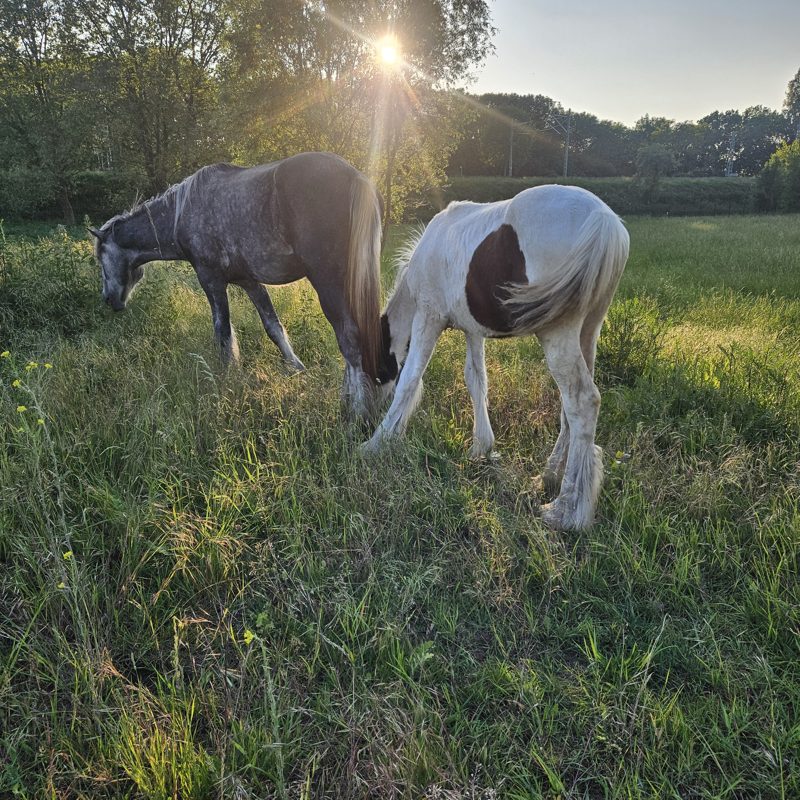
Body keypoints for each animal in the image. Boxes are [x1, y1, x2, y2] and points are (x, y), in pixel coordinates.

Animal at [90, 152, 382, 418]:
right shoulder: (249, 282)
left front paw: (226, 381)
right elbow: (273, 327)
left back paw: (357, 412)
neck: (181, 213)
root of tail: (356, 178)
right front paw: (296, 369)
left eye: (100, 257)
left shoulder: (211, 280)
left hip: (328, 282)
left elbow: (223, 332)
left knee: (349, 339)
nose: (109, 299)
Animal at [366, 184, 630, 530]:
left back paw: (565, 510)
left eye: (376, 370)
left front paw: (377, 442)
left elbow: (410, 378)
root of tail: (605, 221)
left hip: (558, 333)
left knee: (583, 402)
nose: (362, 415)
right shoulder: (472, 330)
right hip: (588, 331)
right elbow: (476, 380)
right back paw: (549, 476)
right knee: (570, 409)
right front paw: (481, 447)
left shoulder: (429, 316)